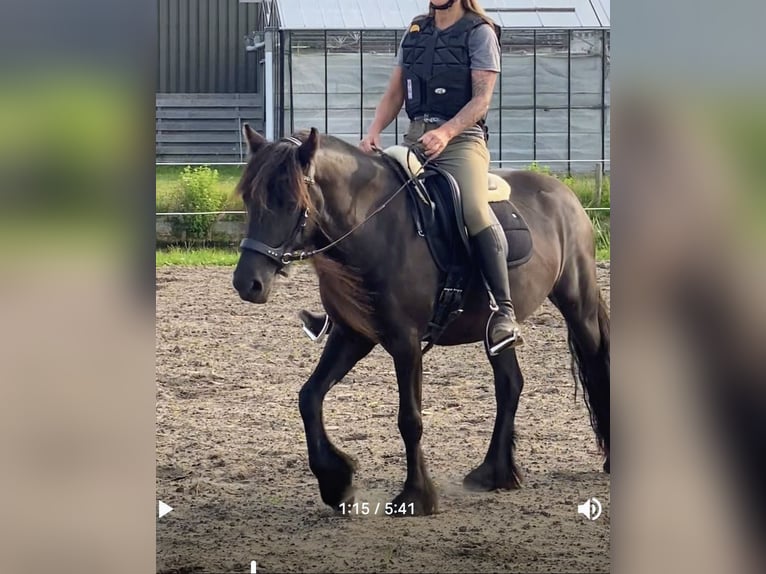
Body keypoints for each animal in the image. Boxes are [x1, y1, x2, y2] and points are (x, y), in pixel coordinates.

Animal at [231, 124, 610, 516]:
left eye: (291, 203)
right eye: (249, 198)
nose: (248, 283)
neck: (377, 226)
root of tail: (564, 195)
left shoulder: (406, 342)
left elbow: (409, 419)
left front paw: (416, 495)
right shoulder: (352, 335)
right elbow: (309, 397)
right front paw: (336, 482)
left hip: (577, 303)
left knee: (596, 362)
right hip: (494, 332)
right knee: (510, 385)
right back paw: (494, 472)